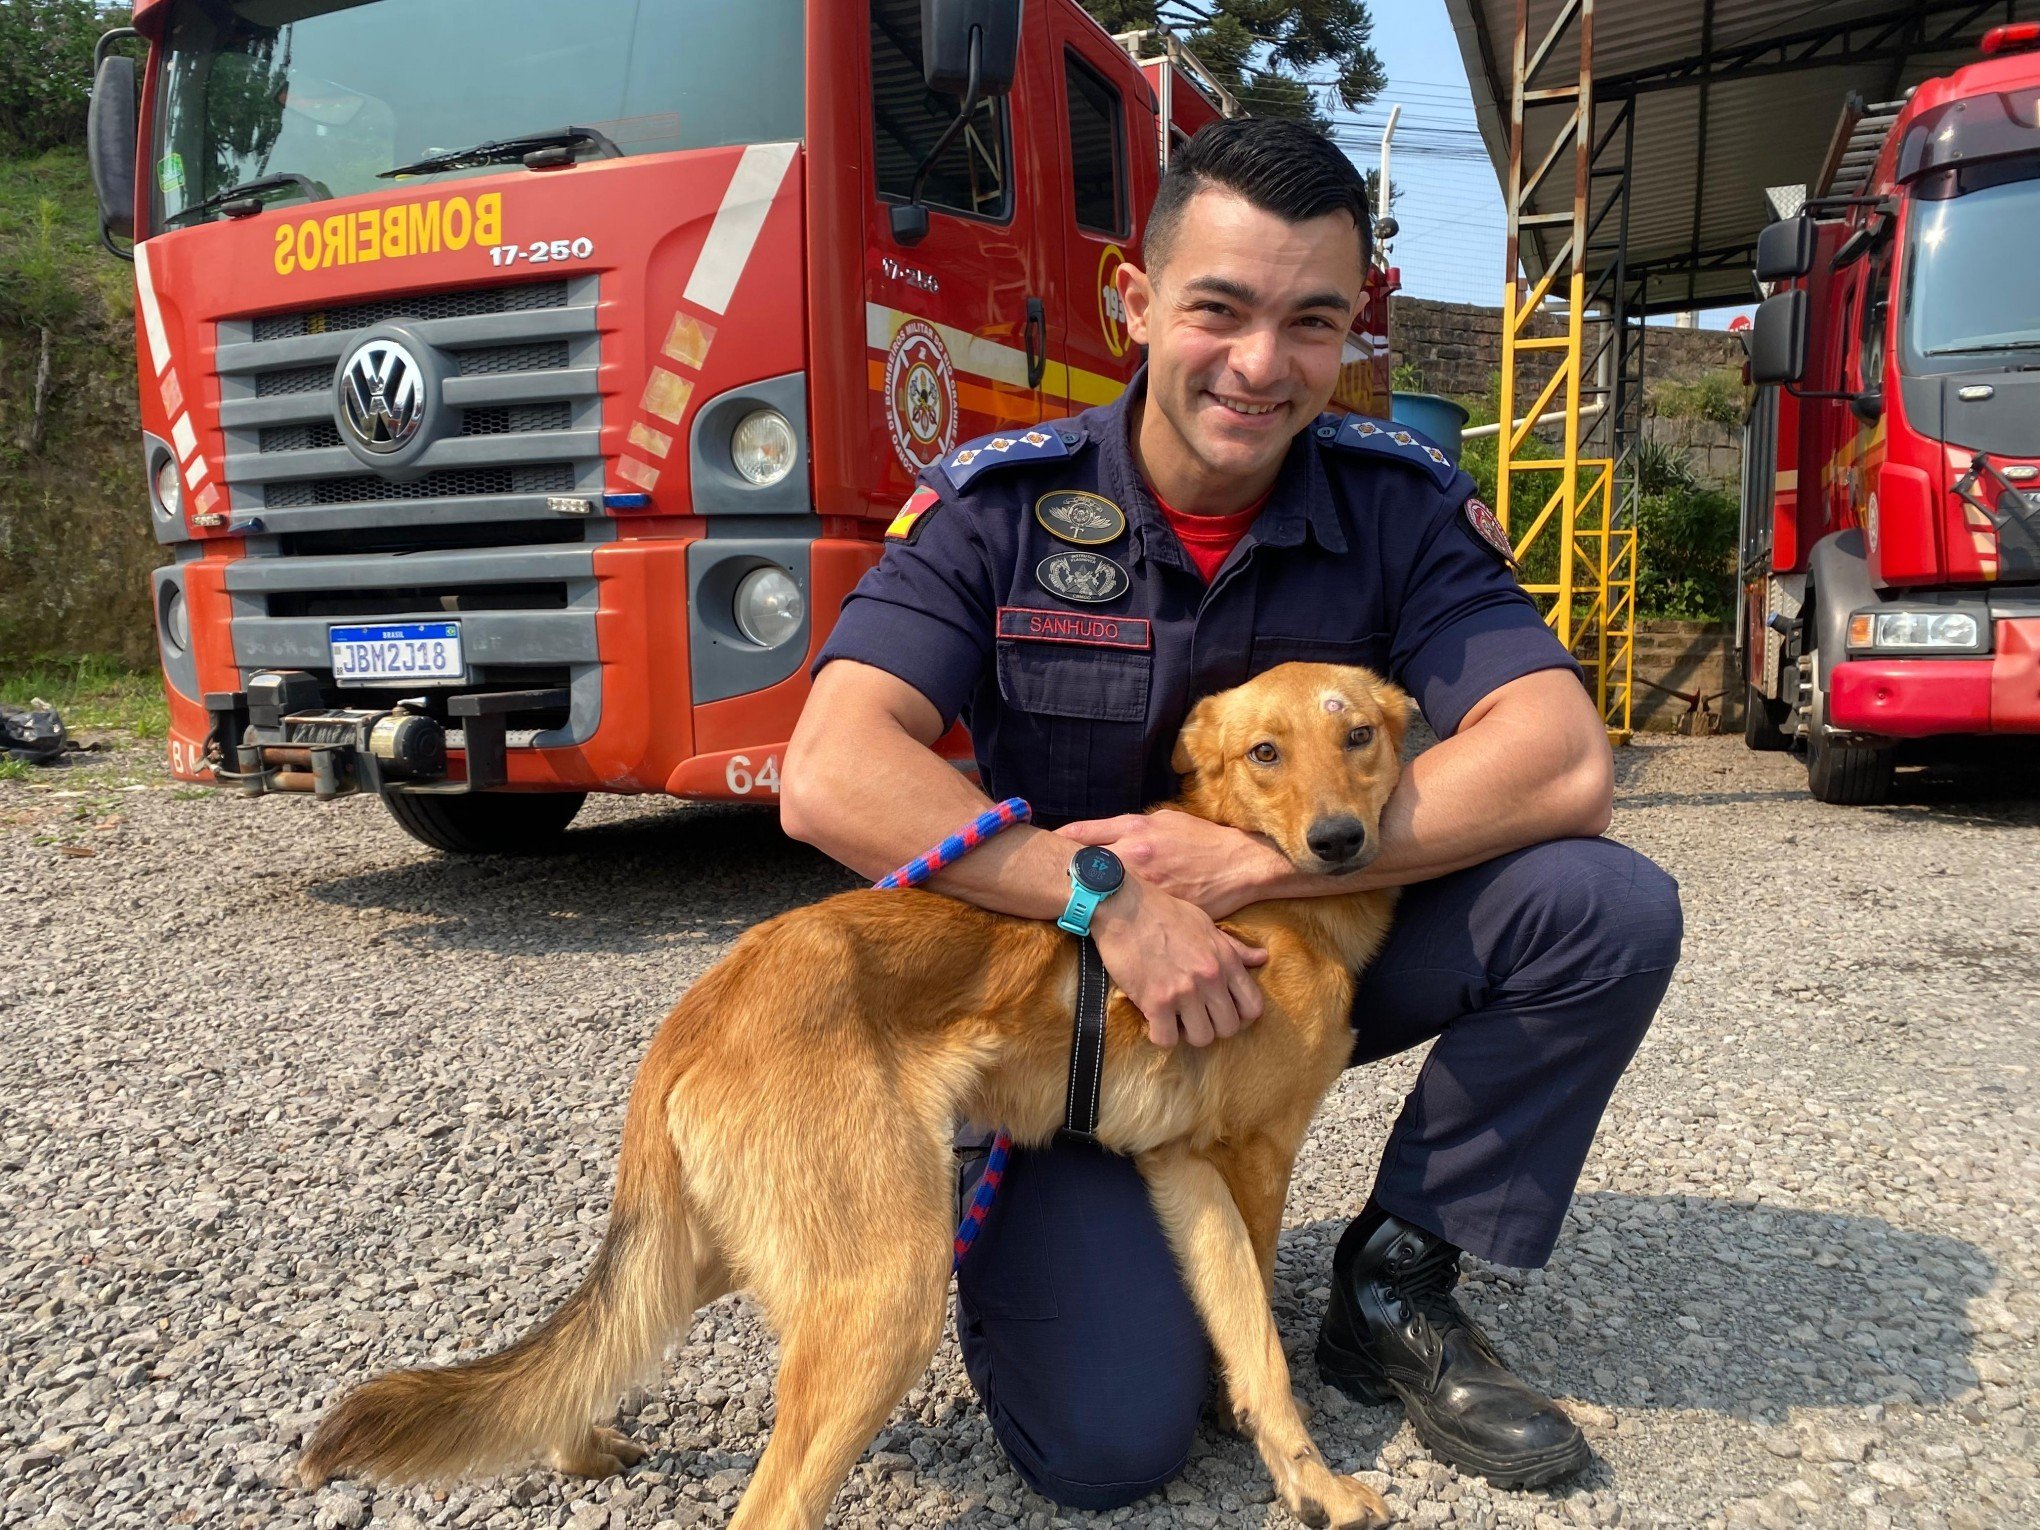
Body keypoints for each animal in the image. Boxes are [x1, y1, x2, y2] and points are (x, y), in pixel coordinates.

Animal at [301, 665, 1411, 1530]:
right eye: (1266, 752)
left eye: (1357, 735)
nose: (1339, 840)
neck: (1259, 889)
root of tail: (704, 1003)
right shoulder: (1251, 1161)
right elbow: (1262, 1338)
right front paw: (1311, 1481)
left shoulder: (1184, 1170)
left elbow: (1241, 1335)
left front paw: (1278, 1461)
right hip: (887, 1290)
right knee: (770, 1503)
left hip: (740, 1244)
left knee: (606, 1334)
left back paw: (576, 1446)